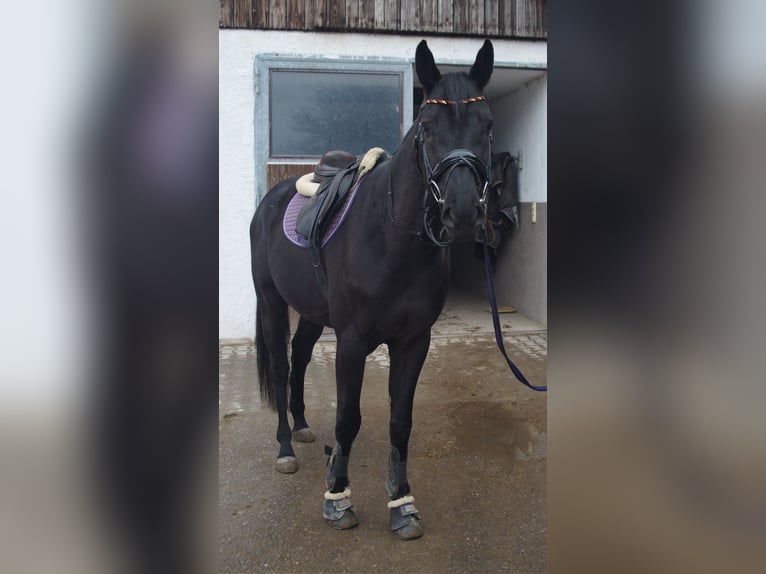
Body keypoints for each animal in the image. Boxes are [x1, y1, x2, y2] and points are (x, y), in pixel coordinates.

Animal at [250, 39, 495, 540]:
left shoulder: (413, 342)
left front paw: (402, 503)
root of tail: (270, 202)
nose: (462, 213)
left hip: (311, 312)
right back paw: (286, 447)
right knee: (282, 365)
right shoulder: (351, 342)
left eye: (488, 125)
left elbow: (400, 421)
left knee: (300, 356)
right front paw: (337, 499)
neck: (391, 239)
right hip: (271, 302)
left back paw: (302, 425)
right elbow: (348, 418)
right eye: (427, 127)